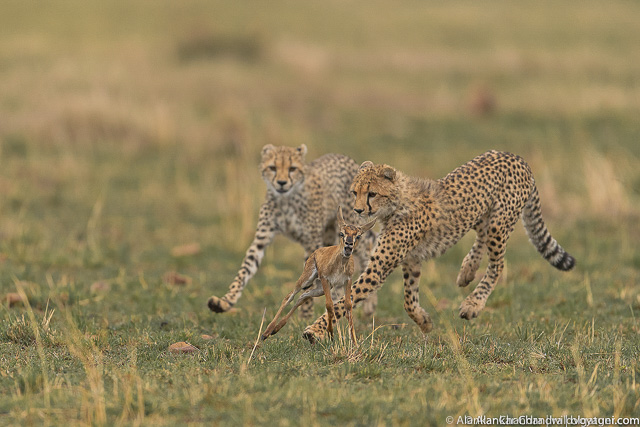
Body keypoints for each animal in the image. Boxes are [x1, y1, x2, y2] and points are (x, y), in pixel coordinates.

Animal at [207, 144, 378, 318]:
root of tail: (344, 157)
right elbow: (245, 269)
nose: (281, 183)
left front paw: (305, 316)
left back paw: (368, 304)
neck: (286, 200)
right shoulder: (262, 238)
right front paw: (224, 301)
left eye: (292, 169)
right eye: (273, 168)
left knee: (367, 253)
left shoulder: (311, 242)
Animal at [303, 150, 575, 342]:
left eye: (371, 194)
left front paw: (314, 330)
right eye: (354, 192)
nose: (358, 210)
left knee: (497, 265)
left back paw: (473, 304)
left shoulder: (378, 268)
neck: (397, 203)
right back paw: (467, 270)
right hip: (483, 215)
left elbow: (343, 302)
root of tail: (517, 157)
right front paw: (424, 321)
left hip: (500, 223)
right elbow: (409, 299)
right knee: (481, 237)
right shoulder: (411, 260)